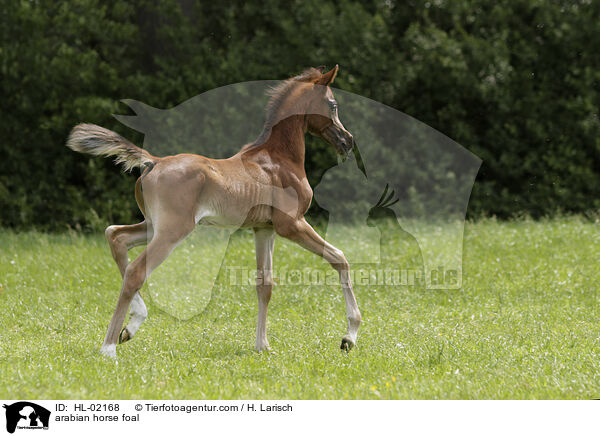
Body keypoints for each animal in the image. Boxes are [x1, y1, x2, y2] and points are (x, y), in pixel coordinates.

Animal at [68, 65, 364, 358]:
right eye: (333, 104)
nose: (348, 140)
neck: (278, 159)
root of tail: (155, 161)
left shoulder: (264, 229)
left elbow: (265, 284)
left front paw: (262, 345)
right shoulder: (291, 224)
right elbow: (340, 258)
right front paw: (349, 337)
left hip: (153, 226)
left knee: (115, 235)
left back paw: (130, 327)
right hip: (173, 230)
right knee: (135, 271)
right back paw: (108, 347)